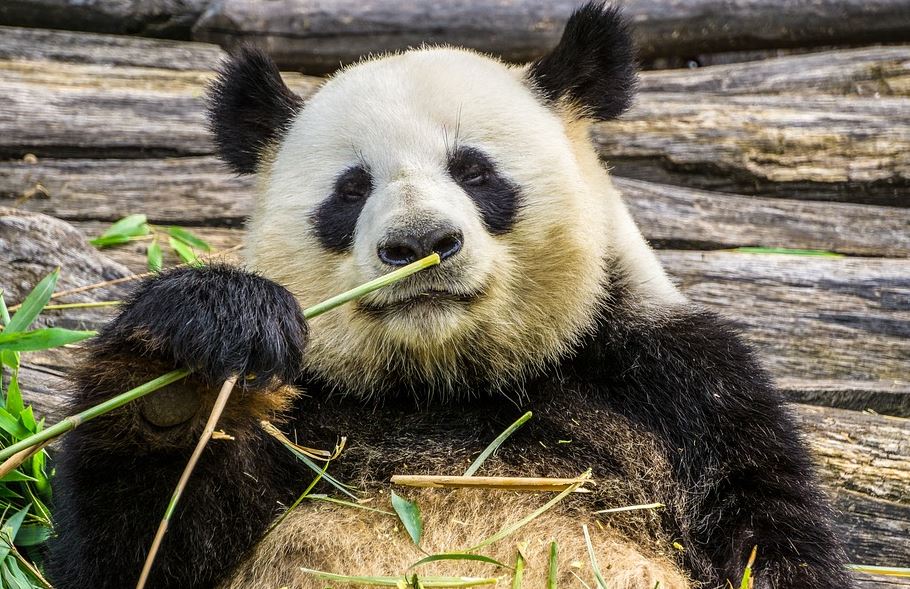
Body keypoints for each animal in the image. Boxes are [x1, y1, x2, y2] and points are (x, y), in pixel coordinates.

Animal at [42, 4, 856, 588]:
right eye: (351, 189)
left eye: (475, 171)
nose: (418, 244)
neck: (445, 382)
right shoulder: (310, 417)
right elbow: (140, 553)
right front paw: (187, 366)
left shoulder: (682, 391)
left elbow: (769, 537)